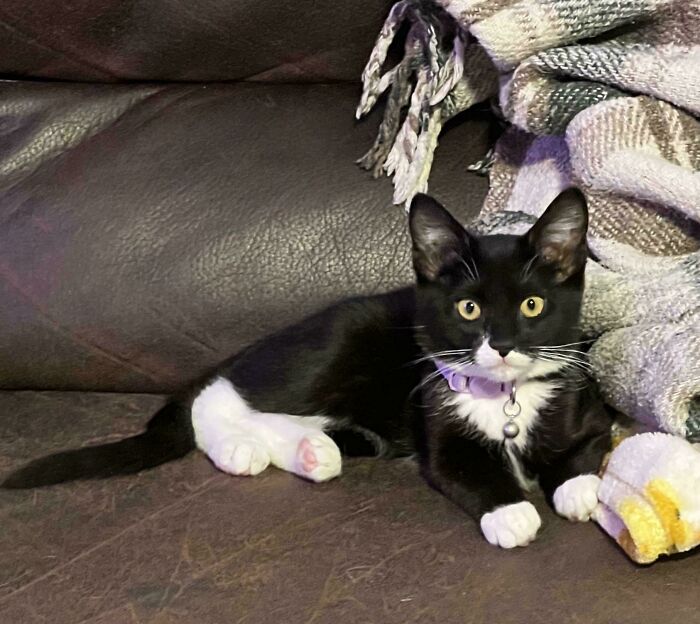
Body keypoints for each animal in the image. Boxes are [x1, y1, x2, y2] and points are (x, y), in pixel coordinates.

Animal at [2, 189, 608, 544]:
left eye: (533, 305)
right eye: (469, 309)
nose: (501, 346)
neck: (503, 398)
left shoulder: (582, 397)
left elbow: (589, 446)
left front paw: (576, 487)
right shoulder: (436, 414)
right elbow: (463, 466)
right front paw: (512, 512)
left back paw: (311, 453)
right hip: (331, 347)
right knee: (217, 397)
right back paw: (241, 448)